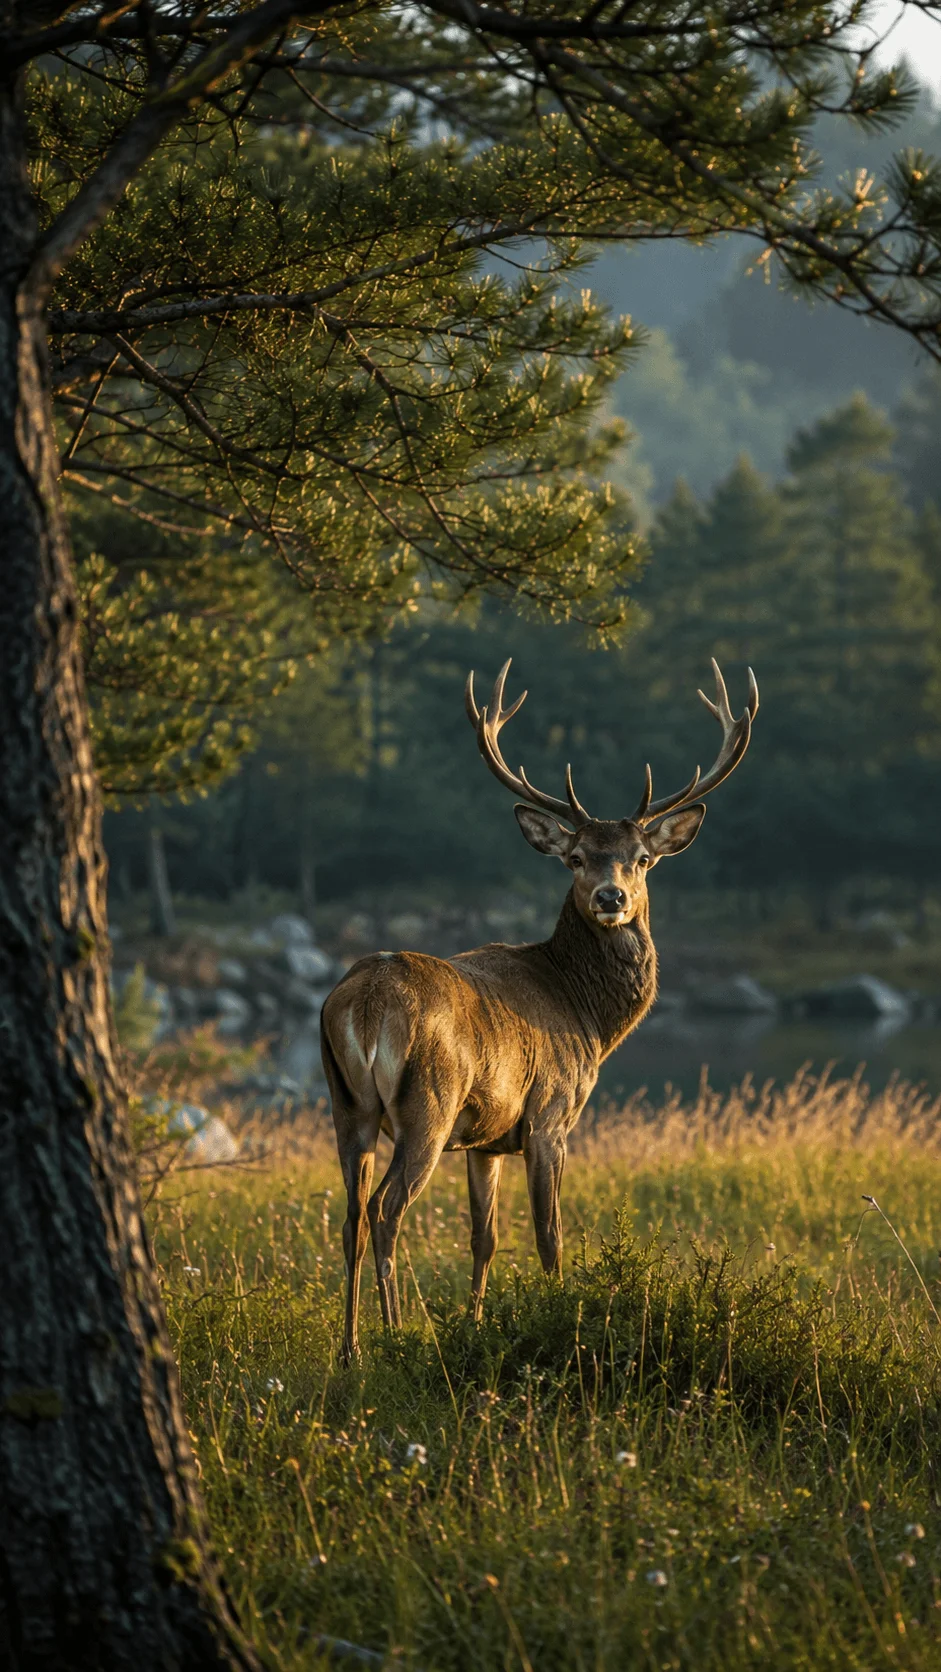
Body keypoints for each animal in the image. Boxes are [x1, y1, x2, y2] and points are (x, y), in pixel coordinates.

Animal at [321, 657, 759, 1361]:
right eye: (575, 857)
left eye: (642, 859)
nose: (611, 897)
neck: (587, 1016)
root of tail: (362, 1004)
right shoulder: (550, 1115)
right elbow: (549, 1239)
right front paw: (560, 1319)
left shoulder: (486, 1140)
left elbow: (485, 1239)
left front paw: (475, 1323)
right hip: (427, 1104)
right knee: (388, 1210)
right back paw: (392, 1337)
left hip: (346, 1104)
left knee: (351, 1216)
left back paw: (351, 1348)